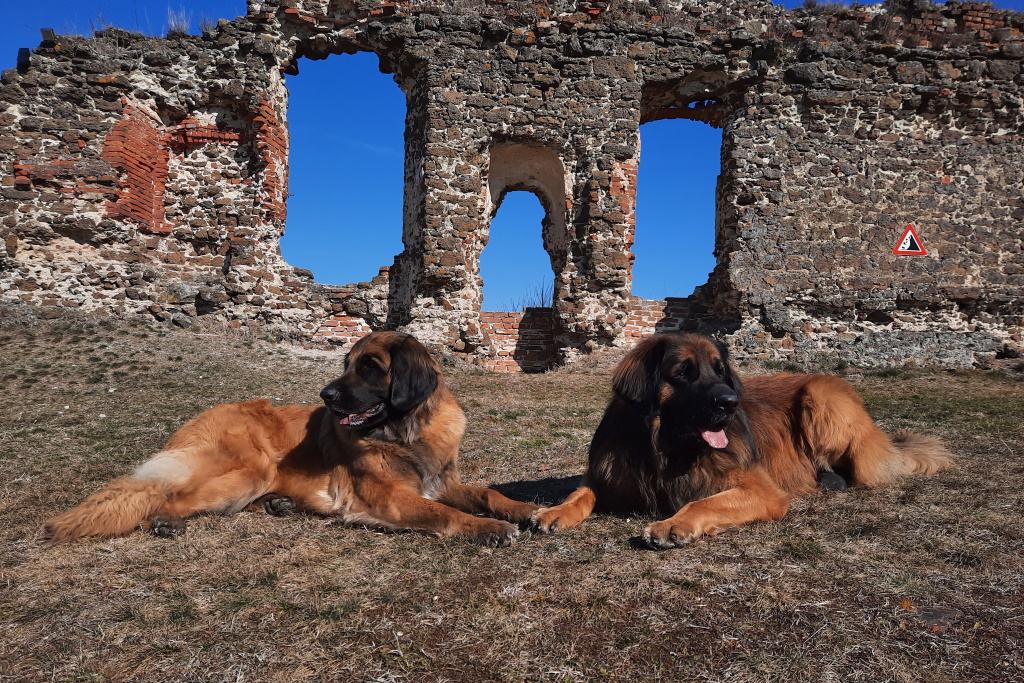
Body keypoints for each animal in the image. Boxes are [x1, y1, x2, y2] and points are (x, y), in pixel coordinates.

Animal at [44, 327, 540, 548]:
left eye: (371, 368)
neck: (406, 432)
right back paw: (166, 520)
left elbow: (488, 493)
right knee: (169, 496)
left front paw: (526, 510)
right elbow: (443, 514)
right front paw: (490, 528)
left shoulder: (443, 480)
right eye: (346, 364)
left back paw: (280, 504)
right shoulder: (390, 498)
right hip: (250, 468)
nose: (325, 395)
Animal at [532, 331, 954, 548]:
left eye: (720, 371)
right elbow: (580, 492)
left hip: (821, 395)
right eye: (682, 373)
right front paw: (555, 511)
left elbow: (703, 502)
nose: (730, 402)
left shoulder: (760, 489)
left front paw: (672, 525)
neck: (666, 449)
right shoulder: (610, 473)